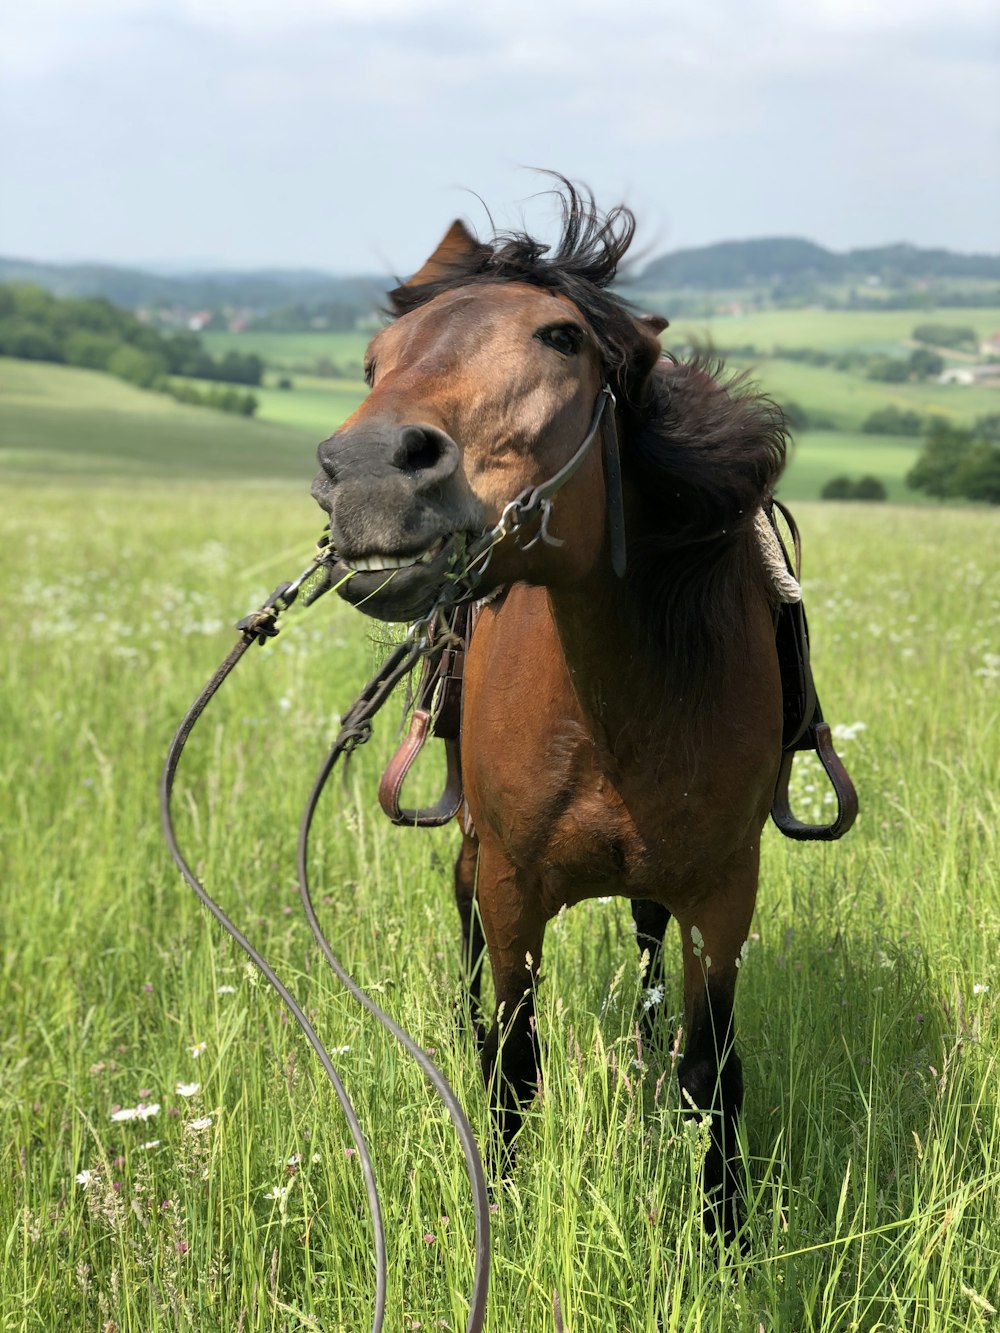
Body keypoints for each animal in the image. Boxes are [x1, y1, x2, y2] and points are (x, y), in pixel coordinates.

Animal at [309, 187, 794, 1237]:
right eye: (376, 357)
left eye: (562, 335)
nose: (365, 474)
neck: (618, 706)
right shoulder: (512, 885)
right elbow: (516, 1063)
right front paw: (506, 1205)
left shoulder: (723, 892)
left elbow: (713, 1069)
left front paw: (726, 1233)